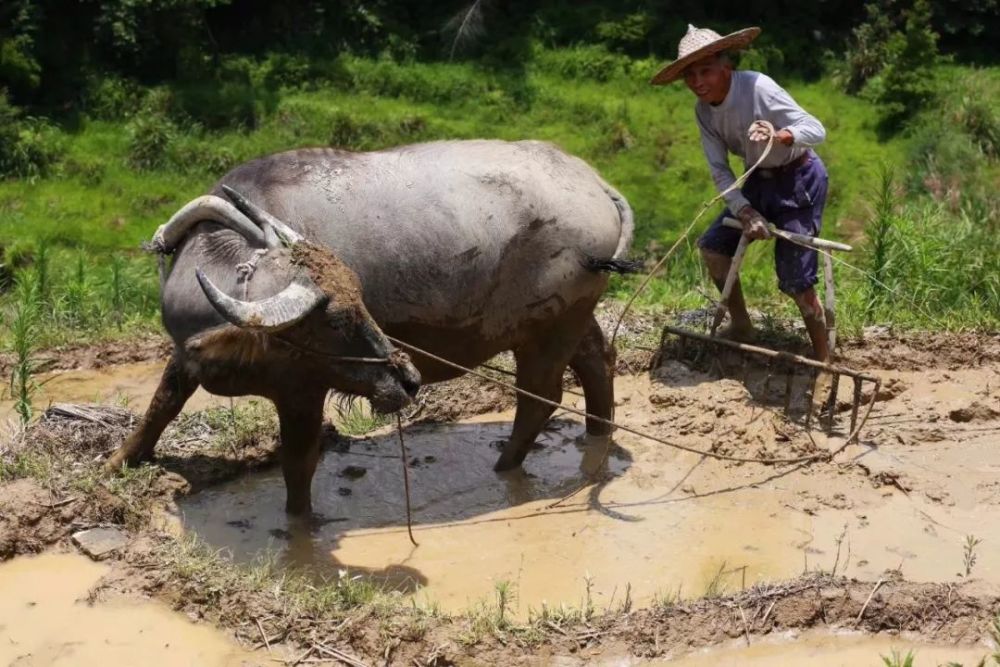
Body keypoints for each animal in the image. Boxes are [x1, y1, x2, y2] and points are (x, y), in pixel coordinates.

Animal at [107, 140, 632, 516]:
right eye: (336, 319)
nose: (408, 377)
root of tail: (592, 182)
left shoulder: (302, 390)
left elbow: (298, 465)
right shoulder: (184, 356)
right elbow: (162, 403)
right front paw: (120, 460)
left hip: (546, 331)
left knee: (541, 397)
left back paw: (504, 467)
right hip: (573, 316)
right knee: (597, 361)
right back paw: (597, 436)